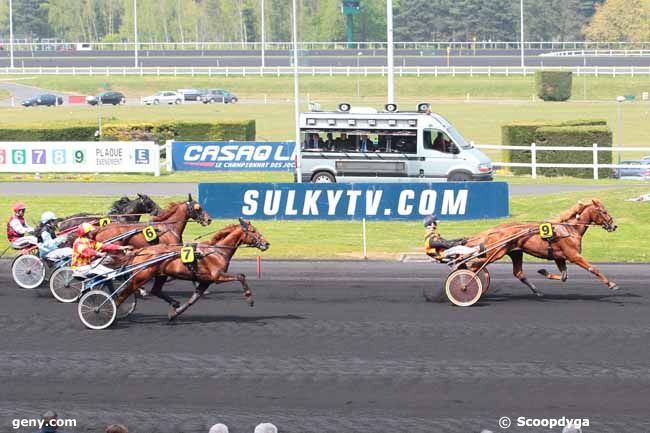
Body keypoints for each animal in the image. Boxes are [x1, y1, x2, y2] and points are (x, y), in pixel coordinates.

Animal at [114, 218, 268, 318]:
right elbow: (241, 276)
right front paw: (249, 298)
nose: (266, 243)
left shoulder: (206, 281)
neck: (217, 250)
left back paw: (174, 303)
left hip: (160, 274)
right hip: (142, 276)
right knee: (125, 293)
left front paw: (175, 313)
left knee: (156, 290)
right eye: (253, 231)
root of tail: (140, 250)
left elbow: (193, 300)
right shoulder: (217, 276)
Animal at [460, 199, 616, 296]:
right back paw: (465, 285)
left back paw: (537, 291)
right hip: (495, 253)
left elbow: (564, 276)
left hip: (515, 252)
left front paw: (543, 271)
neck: (569, 230)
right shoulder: (574, 256)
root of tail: (495, 229)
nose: (613, 226)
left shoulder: (559, 257)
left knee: (518, 273)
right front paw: (611, 284)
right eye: (603, 211)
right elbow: (593, 269)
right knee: (474, 266)